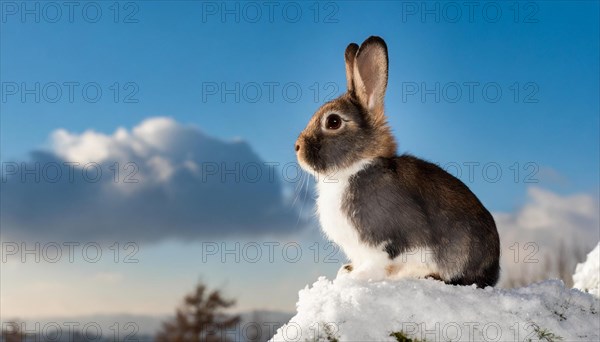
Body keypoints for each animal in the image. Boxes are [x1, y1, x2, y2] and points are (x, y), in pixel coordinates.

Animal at [296, 36, 502, 288]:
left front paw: (355, 278)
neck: (355, 168)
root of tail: (492, 271)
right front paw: (347, 271)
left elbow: (381, 261)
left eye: (333, 122)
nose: (297, 148)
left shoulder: (387, 240)